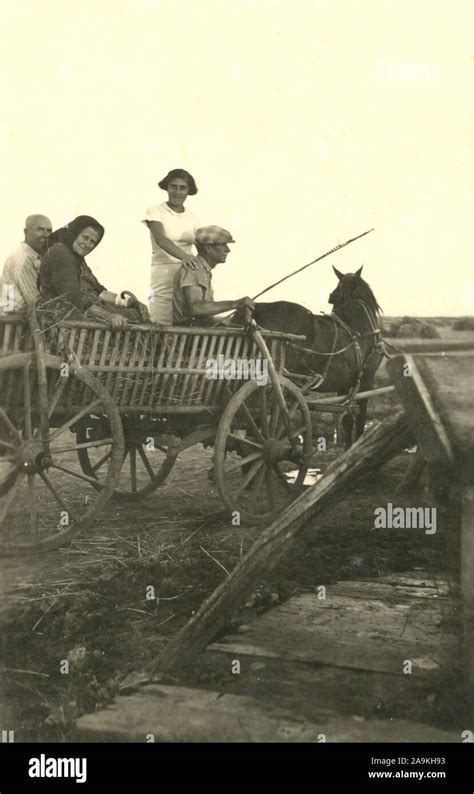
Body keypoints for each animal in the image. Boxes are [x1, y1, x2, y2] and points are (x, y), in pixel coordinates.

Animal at [250, 266, 384, 446]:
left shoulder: (344, 385)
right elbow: (360, 420)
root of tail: (260, 307)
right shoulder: (367, 380)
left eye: (335, 297)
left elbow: (348, 420)